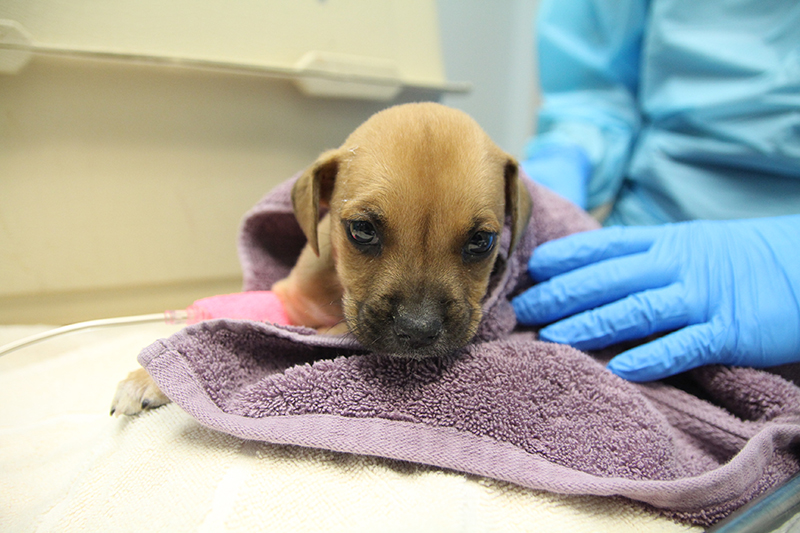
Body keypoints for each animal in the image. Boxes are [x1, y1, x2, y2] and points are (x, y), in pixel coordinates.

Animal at [108, 101, 532, 416]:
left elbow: (311, 335)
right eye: (362, 230)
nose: (418, 331)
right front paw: (147, 376)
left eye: (481, 240)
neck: (335, 286)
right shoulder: (288, 298)